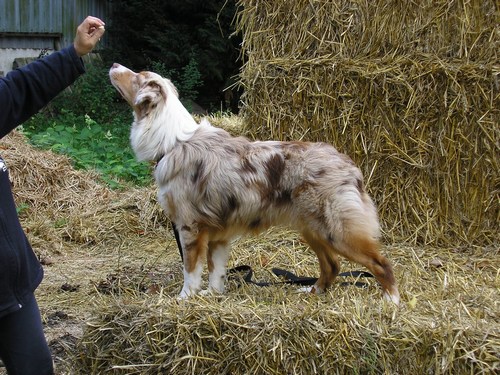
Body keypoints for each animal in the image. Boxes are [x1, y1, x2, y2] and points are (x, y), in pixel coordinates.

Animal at [110, 64, 402, 306]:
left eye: (137, 75)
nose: (113, 64)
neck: (172, 142)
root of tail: (350, 165)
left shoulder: (190, 226)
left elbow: (190, 269)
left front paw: (184, 298)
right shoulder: (219, 233)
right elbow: (216, 271)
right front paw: (213, 295)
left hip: (338, 231)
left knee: (381, 263)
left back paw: (391, 300)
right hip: (313, 229)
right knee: (332, 266)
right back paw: (312, 291)